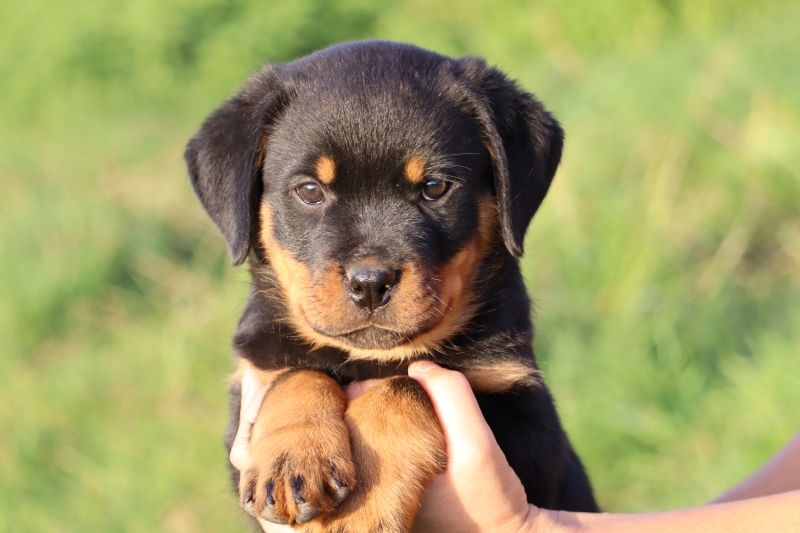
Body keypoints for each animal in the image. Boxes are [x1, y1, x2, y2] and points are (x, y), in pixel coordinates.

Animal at [185, 40, 598, 532]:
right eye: (309, 190)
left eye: (435, 187)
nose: (370, 282)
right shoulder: (250, 384)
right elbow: (298, 372)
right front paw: (293, 459)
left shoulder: (529, 418)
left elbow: (406, 386)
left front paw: (364, 504)